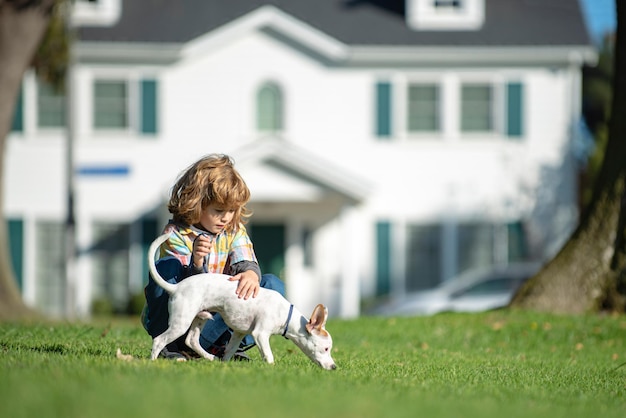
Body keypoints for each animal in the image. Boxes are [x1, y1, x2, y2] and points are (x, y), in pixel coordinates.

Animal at [147, 233, 336, 370]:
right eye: (326, 348)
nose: (334, 367)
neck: (285, 314)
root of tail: (176, 287)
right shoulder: (260, 334)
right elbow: (268, 355)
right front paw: (272, 368)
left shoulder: (239, 333)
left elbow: (229, 351)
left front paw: (225, 365)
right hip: (181, 321)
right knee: (159, 340)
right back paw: (153, 363)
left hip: (200, 317)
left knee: (191, 340)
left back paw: (210, 357)